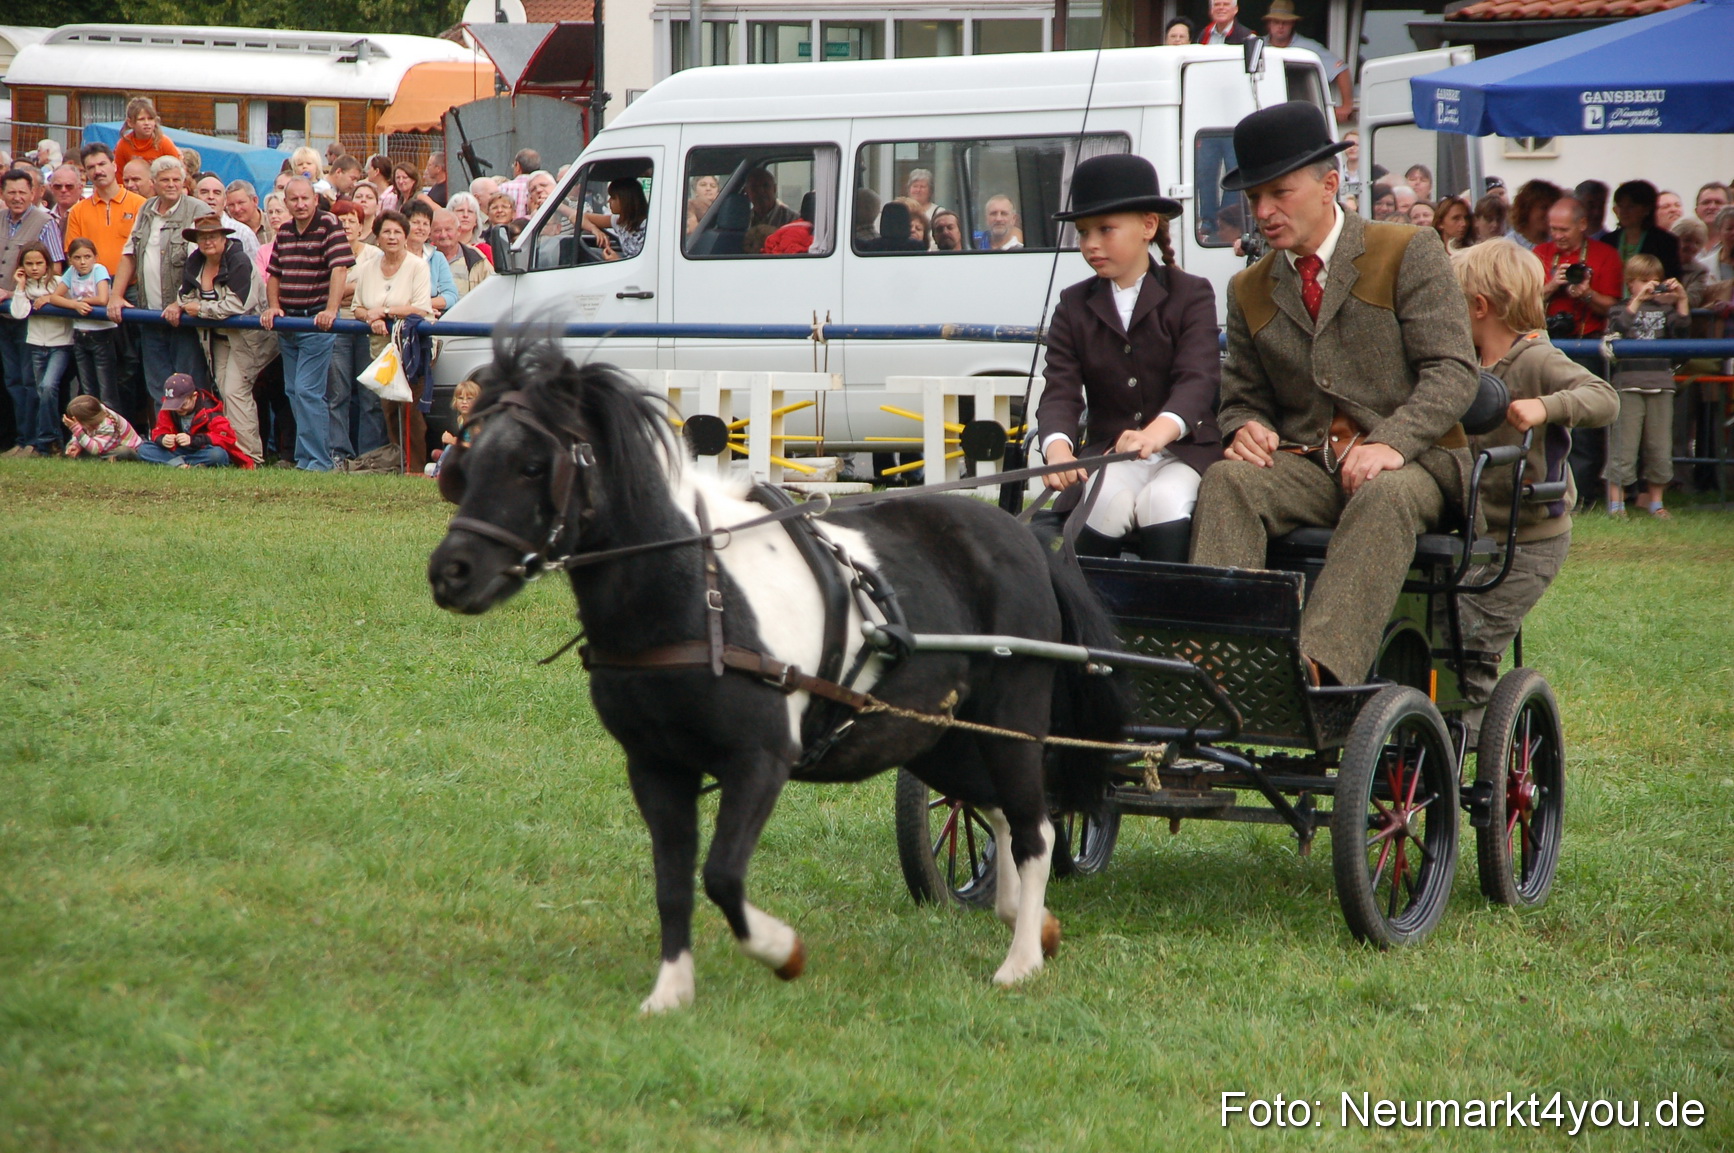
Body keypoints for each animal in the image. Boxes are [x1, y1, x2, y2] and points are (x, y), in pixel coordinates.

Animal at [428, 338, 1125, 1013]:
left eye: (532, 465)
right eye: (465, 463)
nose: (450, 573)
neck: (694, 592)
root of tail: (1023, 536)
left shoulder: (759, 759)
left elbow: (720, 875)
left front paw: (782, 951)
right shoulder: (654, 767)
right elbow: (672, 883)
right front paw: (671, 992)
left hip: (1012, 719)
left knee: (1035, 828)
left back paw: (1021, 960)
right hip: (937, 736)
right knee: (996, 810)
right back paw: (1028, 921)